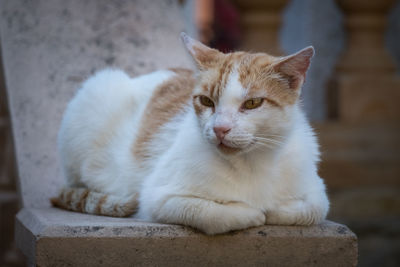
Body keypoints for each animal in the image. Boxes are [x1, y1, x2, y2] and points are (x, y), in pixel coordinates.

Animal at [51, 33, 330, 234]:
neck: (252, 163)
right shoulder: (158, 197)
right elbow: (209, 213)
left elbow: (312, 210)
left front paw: (273, 210)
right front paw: (251, 213)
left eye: (252, 103)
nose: (219, 128)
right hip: (99, 87)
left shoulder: (317, 191)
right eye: (206, 101)